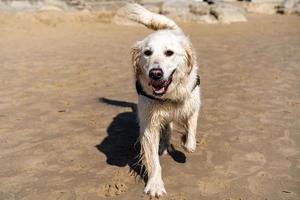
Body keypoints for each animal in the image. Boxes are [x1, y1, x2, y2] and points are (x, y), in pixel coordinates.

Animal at [120, 3, 200, 198]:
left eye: (169, 53)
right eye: (147, 53)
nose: (155, 73)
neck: (168, 96)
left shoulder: (194, 105)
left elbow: (191, 131)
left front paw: (186, 143)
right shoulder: (150, 125)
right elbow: (153, 160)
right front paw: (155, 184)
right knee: (167, 128)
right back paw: (163, 145)